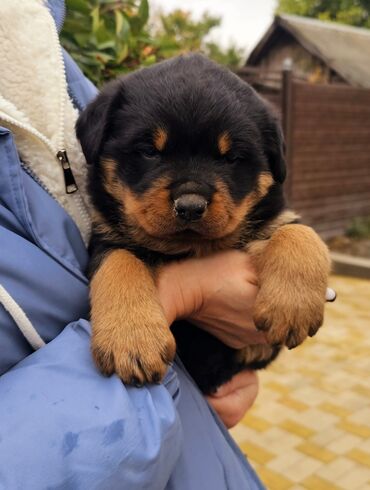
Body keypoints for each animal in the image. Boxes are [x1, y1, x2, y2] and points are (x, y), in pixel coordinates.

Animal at [76, 54, 330, 394]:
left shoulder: (256, 347)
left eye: (231, 158)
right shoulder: (107, 236)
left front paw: (292, 305)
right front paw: (131, 338)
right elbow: (120, 263)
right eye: (149, 151)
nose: (190, 207)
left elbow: (298, 232)